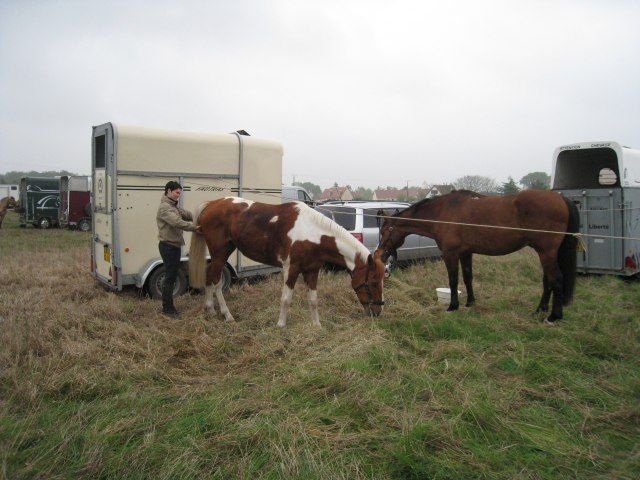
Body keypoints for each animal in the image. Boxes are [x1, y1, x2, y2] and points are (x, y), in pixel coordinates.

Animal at [189, 197, 386, 327]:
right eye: (373, 283)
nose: (377, 312)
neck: (313, 233)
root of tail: (211, 204)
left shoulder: (312, 271)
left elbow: (313, 300)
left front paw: (317, 326)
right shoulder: (291, 269)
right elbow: (286, 299)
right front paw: (281, 325)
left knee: (209, 277)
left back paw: (210, 310)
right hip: (220, 253)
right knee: (216, 280)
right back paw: (227, 315)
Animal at [375, 190, 579, 324]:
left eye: (385, 231)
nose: (380, 254)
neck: (443, 212)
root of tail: (561, 198)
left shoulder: (450, 253)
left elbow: (453, 280)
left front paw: (453, 306)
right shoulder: (466, 253)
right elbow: (468, 277)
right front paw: (470, 303)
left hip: (546, 253)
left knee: (556, 279)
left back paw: (553, 316)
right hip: (545, 253)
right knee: (548, 281)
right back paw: (539, 311)